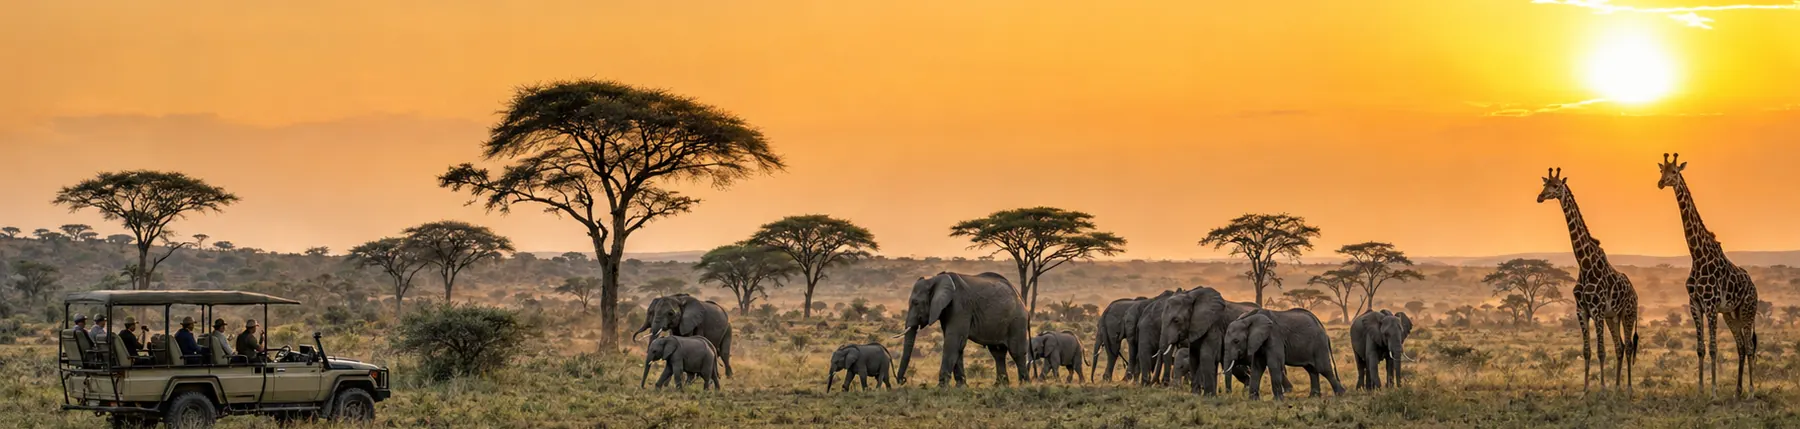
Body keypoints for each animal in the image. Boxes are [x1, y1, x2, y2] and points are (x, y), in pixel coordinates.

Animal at [896, 272, 1032, 388]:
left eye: (916, 303)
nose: (902, 380)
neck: (935, 279)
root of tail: (1021, 299)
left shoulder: (960, 305)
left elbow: (953, 341)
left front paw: (941, 388)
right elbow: (958, 344)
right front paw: (961, 387)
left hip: (1017, 320)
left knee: (1016, 351)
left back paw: (1024, 385)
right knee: (998, 353)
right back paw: (999, 386)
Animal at [1537, 168, 1639, 393]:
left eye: (1556, 186)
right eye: (1544, 184)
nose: (1540, 197)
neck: (1584, 263)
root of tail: (1635, 293)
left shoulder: (1597, 310)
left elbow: (1600, 350)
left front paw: (1601, 387)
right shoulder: (1581, 310)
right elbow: (1587, 351)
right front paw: (1585, 389)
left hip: (1628, 313)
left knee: (1628, 347)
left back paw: (1627, 387)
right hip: (1613, 317)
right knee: (1619, 347)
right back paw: (1617, 386)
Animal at [1657, 153, 1759, 397]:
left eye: (1674, 171)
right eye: (1661, 170)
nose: (1661, 183)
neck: (1697, 254)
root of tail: (1754, 287)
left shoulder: (1711, 305)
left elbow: (1713, 348)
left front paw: (1713, 391)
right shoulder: (1695, 304)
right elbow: (1700, 348)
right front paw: (1701, 390)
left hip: (1748, 311)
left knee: (1750, 347)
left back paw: (1751, 391)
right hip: (1732, 314)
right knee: (1741, 346)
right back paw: (1737, 391)